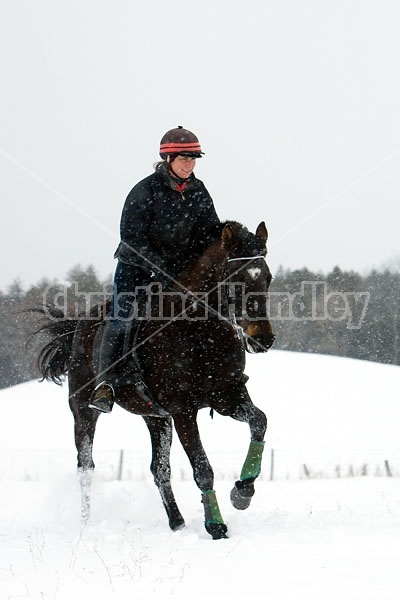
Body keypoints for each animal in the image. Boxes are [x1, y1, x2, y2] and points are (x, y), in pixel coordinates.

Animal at [35, 220, 276, 540]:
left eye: (268, 278)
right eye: (236, 279)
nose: (263, 339)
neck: (201, 332)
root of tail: (79, 326)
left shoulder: (227, 396)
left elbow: (259, 422)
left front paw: (243, 491)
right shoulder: (183, 410)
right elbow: (203, 468)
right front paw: (216, 526)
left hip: (155, 418)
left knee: (159, 470)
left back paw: (178, 523)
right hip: (83, 410)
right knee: (85, 466)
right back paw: (86, 522)